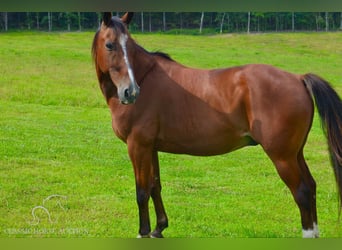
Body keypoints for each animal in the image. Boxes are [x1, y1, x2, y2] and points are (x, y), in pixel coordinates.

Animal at [91, 12, 342, 238]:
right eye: (110, 45)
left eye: (130, 46)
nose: (131, 92)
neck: (145, 78)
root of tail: (298, 78)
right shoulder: (150, 147)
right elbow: (155, 186)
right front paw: (158, 229)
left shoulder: (137, 146)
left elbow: (142, 191)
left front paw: (143, 233)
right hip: (295, 153)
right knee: (311, 187)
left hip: (283, 157)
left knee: (302, 192)